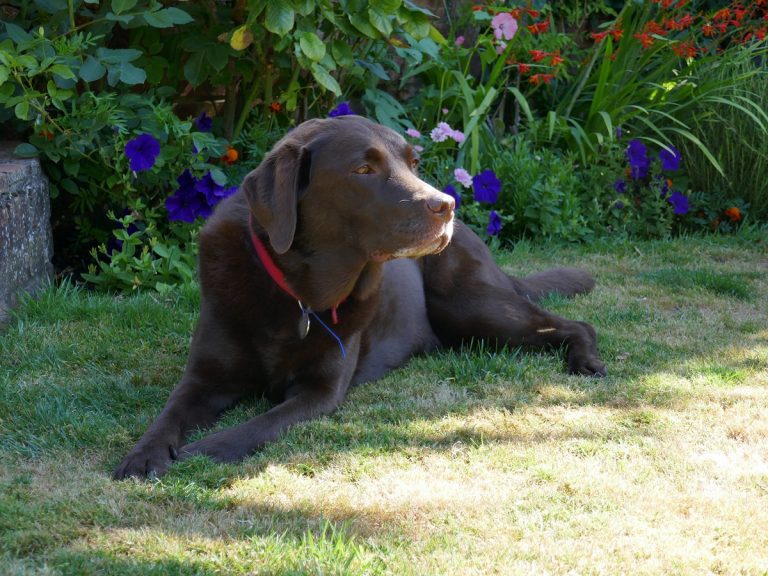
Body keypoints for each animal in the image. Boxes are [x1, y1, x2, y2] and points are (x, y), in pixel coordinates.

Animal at [114, 115, 608, 480]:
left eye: (413, 162)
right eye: (363, 170)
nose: (446, 204)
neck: (298, 291)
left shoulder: (319, 393)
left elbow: (257, 426)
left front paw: (203, 450)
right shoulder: (204, 379)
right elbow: (168, 415)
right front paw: (145, 455)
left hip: (473, 309)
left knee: (573, 324)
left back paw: (585, 359)